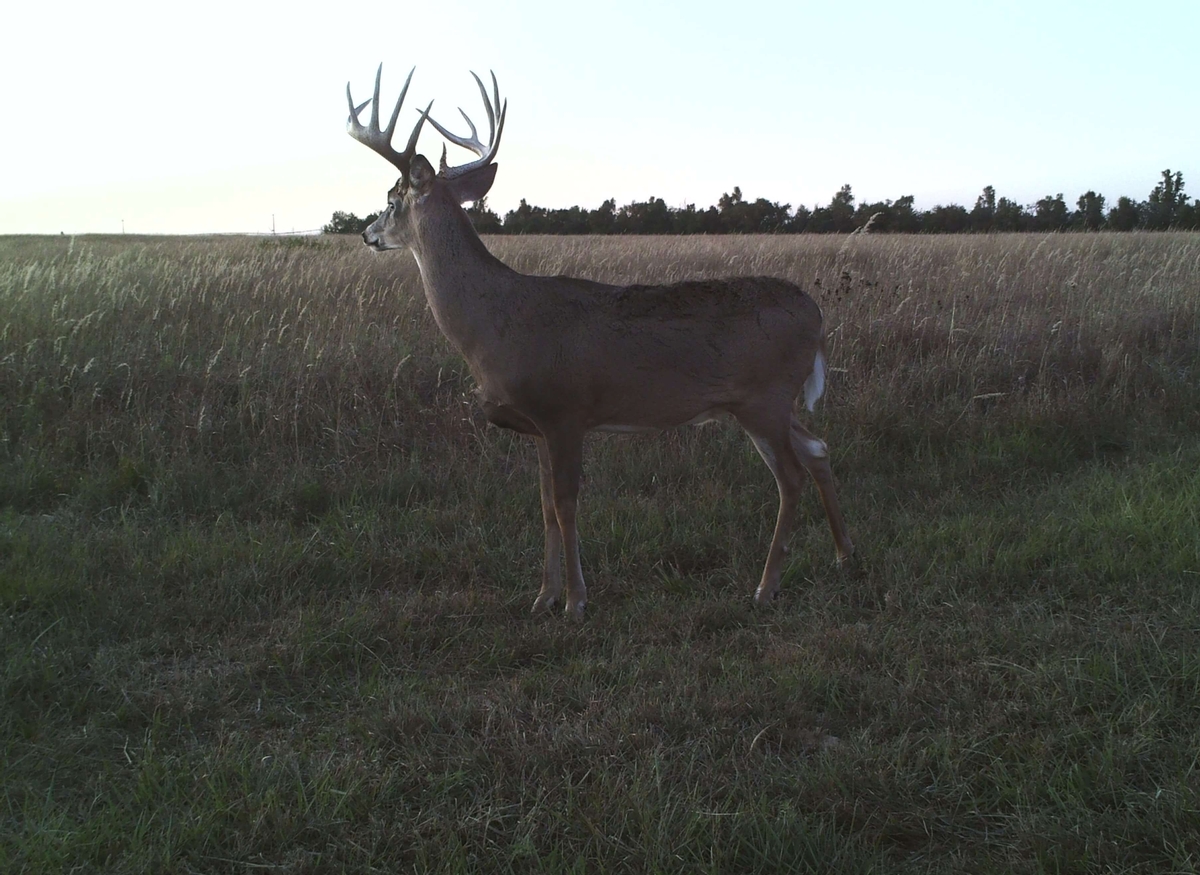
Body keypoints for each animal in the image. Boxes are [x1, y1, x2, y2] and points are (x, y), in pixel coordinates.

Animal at [345, 65, 855, 619]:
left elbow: (566, 506)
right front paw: (542, 596)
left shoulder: (566, 412)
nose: (367, 233)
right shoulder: (537, 425)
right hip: (774, 403)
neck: (495, 322)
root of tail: (816, 313)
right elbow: (545, 506)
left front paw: (575, 601)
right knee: (819, 448)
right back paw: (842, 554)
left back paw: (766, 586)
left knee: (792, 476)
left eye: (391, 199)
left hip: (763, 399)